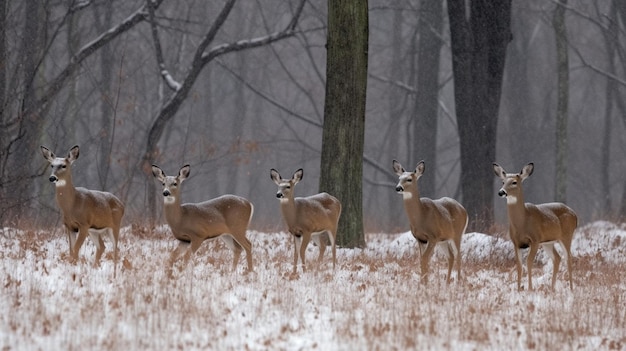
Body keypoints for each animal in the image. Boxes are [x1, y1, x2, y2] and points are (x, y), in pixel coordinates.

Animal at [40, 144, 124, 276]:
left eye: (64, 165)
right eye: (52, 165)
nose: (52, 178)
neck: (72, 205)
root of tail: (122, 205)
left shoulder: (83, 224)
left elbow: (75, 249)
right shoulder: (69, 226)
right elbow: (71, 251)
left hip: (115, 225)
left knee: (116, 249)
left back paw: (114, 275)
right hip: (94, 230)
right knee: (102, 246)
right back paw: (95, 269)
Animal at [492, 163, 576, 292]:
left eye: (514, 182)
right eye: (503, 182)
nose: (501, 192)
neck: (522, 223)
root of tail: (575, 216)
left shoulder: (535, 239)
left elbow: (529, 262)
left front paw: (530, 289)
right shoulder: (516, 242)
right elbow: (519, 265)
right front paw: (519, 289)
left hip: (566, 235)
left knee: (569, 258)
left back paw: (571, 289)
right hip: (548, 242)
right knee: (557, 258)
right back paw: (552, 289)